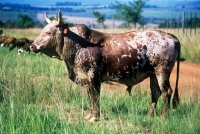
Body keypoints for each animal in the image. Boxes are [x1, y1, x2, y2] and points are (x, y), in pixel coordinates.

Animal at [30, 10, 181, 121]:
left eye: (48, 32)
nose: (32, 46)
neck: (78, 44)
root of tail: (171, 37)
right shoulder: (86, 79)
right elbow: (90, 96)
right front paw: (89, 115)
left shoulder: (94, 77)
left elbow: (95, 96)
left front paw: (95, 117)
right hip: (153, 74)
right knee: (156, 92)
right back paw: (149, 115)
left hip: (162, 72)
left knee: (166, 92)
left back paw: (164, 117)